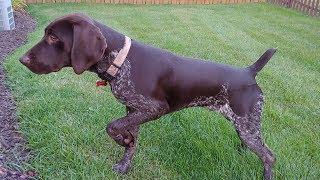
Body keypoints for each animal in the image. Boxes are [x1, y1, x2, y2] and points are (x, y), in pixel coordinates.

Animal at [20, 13, 276, 179]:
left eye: (54, 37)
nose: (22, 59)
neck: (120, 59)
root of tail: (249, 71)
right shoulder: (133, 110)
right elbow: (130, 142)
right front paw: (125, 164)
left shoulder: (154, 108)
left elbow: (112, 126)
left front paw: (122, 140)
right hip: (245, 127)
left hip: (247, 127)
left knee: (269, 156)